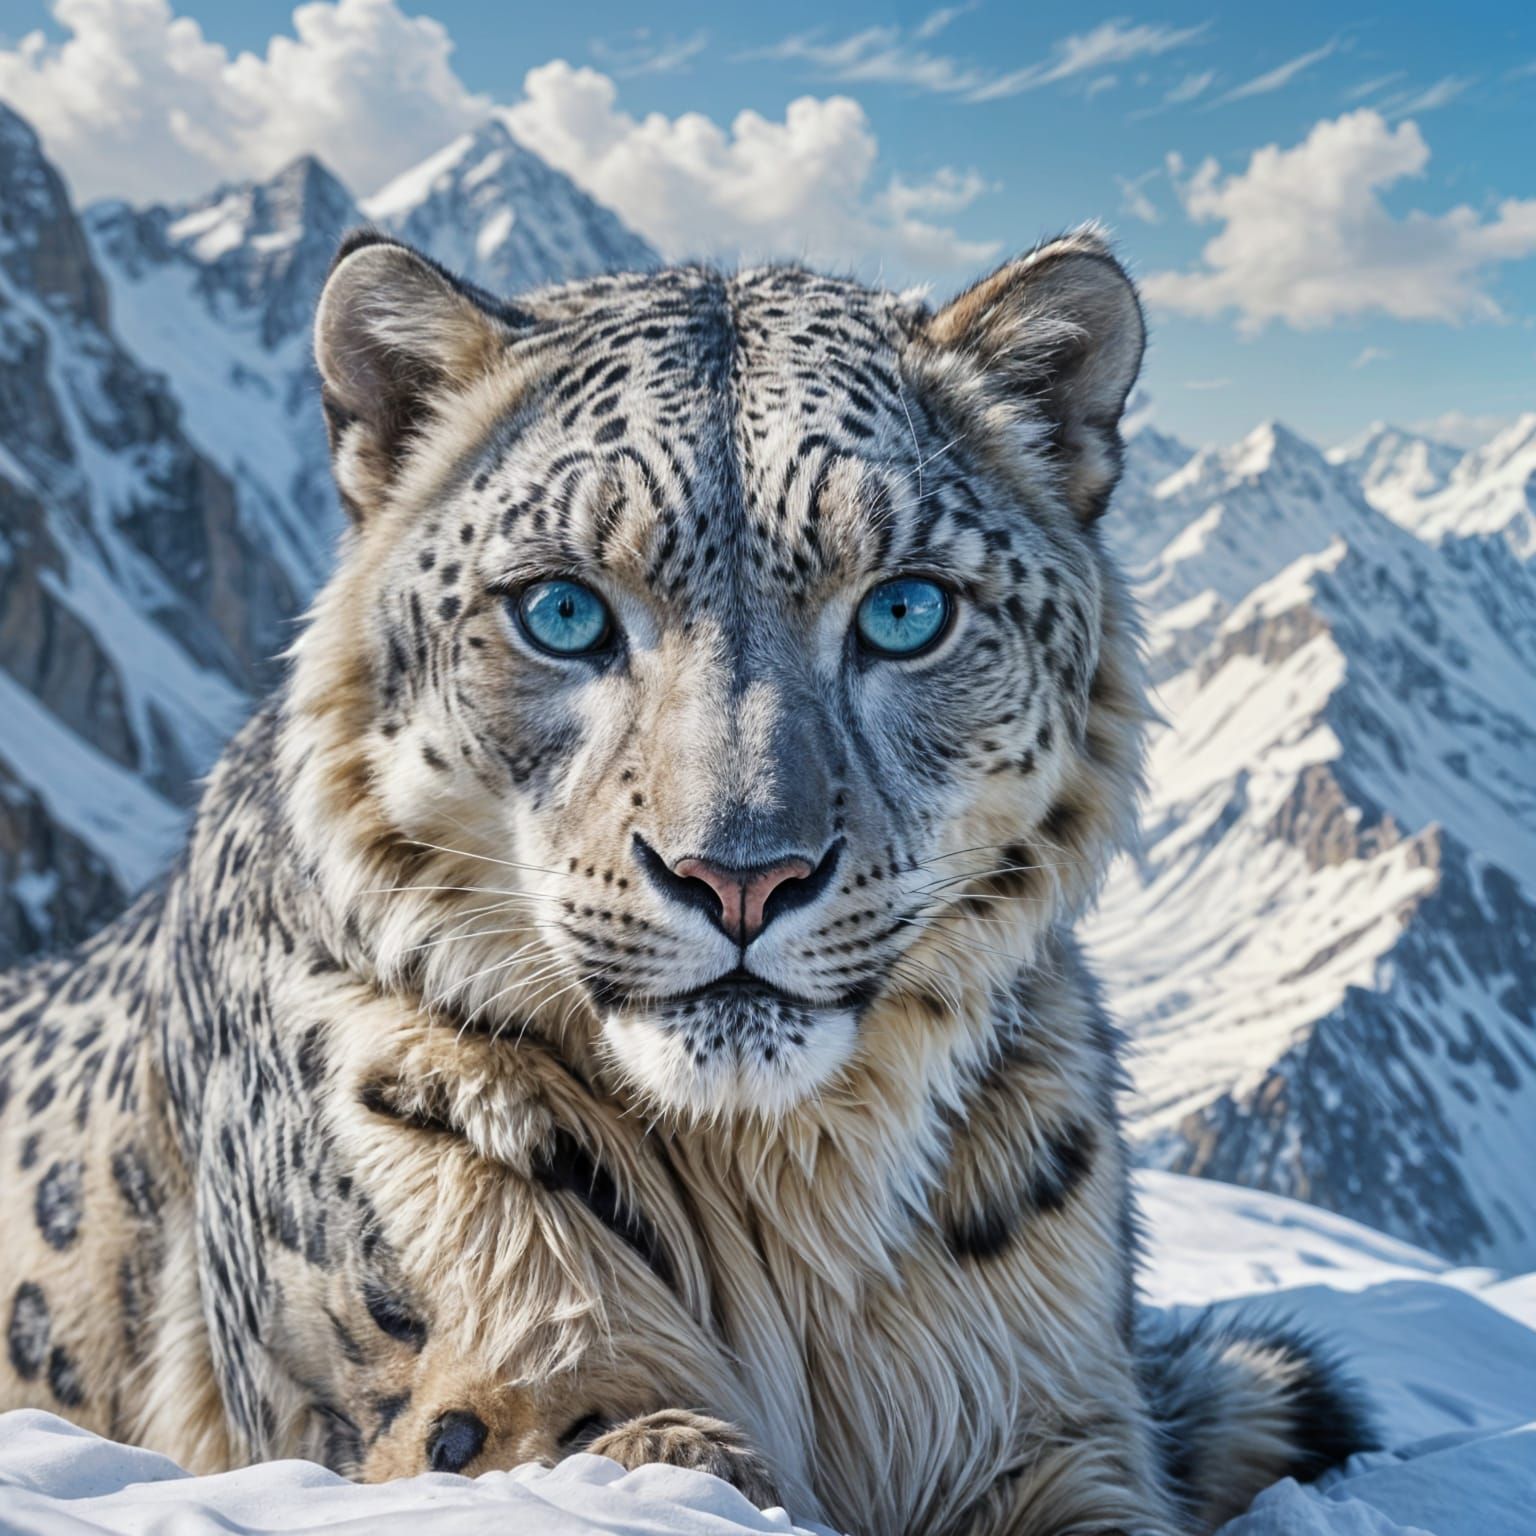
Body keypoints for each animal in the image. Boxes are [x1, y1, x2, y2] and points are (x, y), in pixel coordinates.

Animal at [0, 225, 1372, 1535]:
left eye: (908, 609)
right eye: (560, 610)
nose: (743, 876)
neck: (787, 1199)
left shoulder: (1054, 1425)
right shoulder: (496, 1382)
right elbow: (642, 1452)